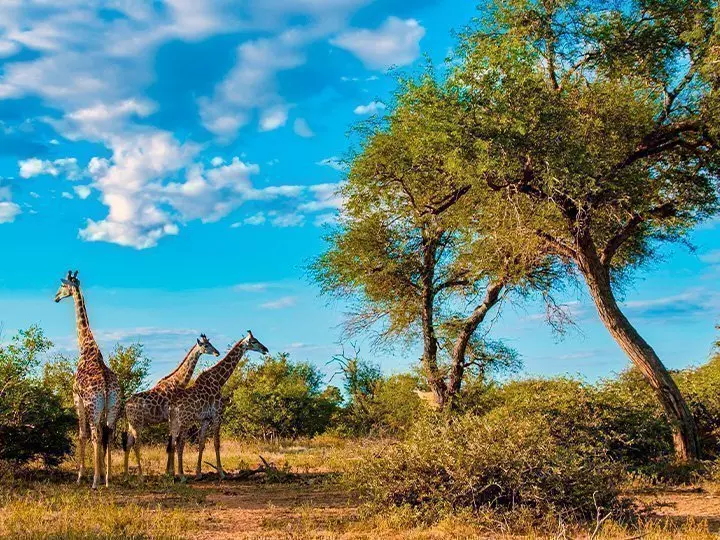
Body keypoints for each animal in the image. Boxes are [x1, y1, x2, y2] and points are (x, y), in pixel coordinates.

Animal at [54, 270, 121, 489]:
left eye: (62, 286)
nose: (55, 297)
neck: (86, 346)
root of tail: (107, 387)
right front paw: (101, 475)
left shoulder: (77, 399)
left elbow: (81, 435)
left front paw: (81, 476)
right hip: (112, 407)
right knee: (107, 434)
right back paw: (107, 479)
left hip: (93, 406)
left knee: (95, 435)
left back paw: (93, 482)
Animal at [122, 334, 220, 478]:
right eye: (206, 345)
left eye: (211, 343)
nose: (217, 352)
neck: (178, 382)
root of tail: (125, 405)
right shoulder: (171, 416)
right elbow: (172, 443)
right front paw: (172, 473)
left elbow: (170, 444)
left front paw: (168, 472)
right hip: (138, 423)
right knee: (136, 445)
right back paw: (140, 476)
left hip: (132, 424)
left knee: (128, 444)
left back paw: (126, 474)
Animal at [168, 330, 269, 481]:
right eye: (254, 341)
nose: (265, 349)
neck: (219, 380)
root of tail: (172, 406)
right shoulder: (217, 415)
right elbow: (216, 443)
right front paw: (221, 473)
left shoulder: (205, 419)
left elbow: (202, 443)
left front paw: (198, 474)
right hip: (185, 421)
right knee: (180, 443)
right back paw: (182, 476)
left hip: (174, 422)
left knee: (172, 443)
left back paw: (172, 474)